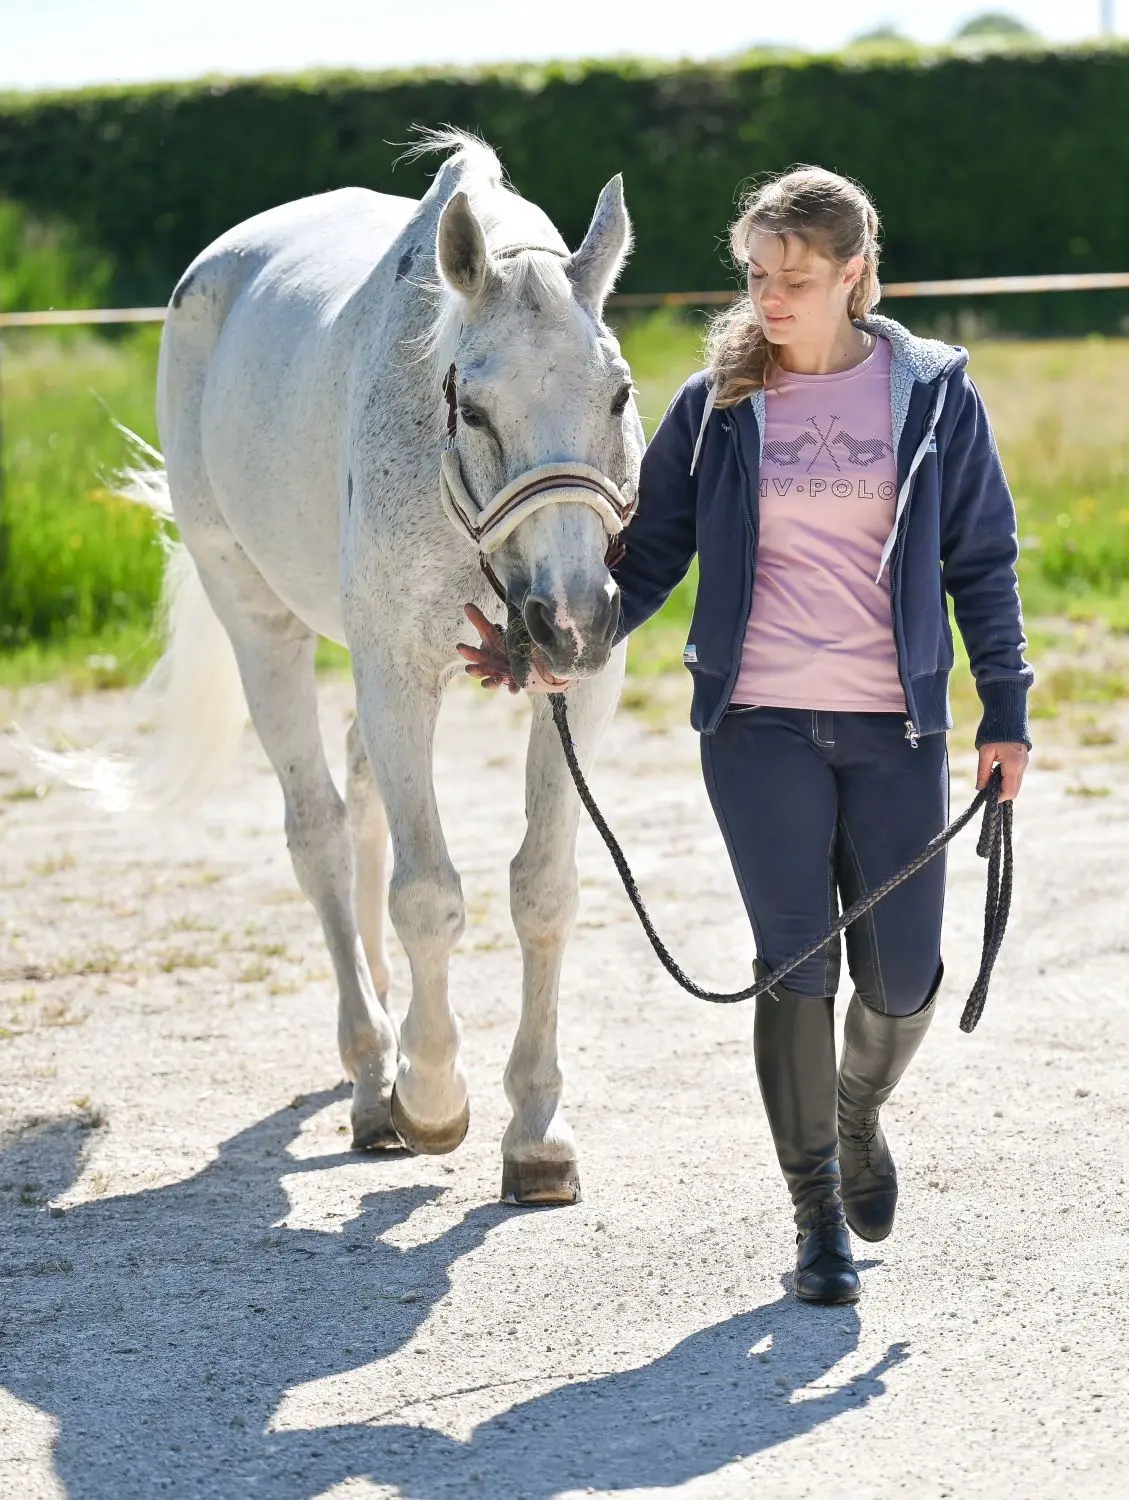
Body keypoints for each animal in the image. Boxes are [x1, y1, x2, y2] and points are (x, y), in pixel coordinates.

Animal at [124, 131, 644, 1204]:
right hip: (261, 625)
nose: (572, 616)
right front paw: (435, 1097)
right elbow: (428, 895)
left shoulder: (581, 690)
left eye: (616, 394)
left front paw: (537, 1131)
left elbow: (543, 890)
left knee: (363, 801)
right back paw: (375, 1081)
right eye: (473, 409)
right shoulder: (398, 671)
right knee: (320, 831)